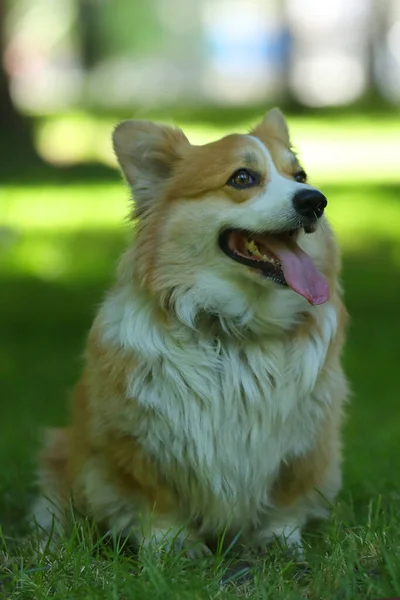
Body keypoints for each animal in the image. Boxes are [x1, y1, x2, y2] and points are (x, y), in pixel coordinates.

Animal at [32, 106, 348, 556]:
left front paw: (280, 543)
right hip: (59, 451)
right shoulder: (137, 444)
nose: (315, 200)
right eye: (242, 178)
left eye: (300, 175)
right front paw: (173, 547)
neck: (234, 332)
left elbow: (286, 501)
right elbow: (156, 501)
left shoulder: (307, 440)